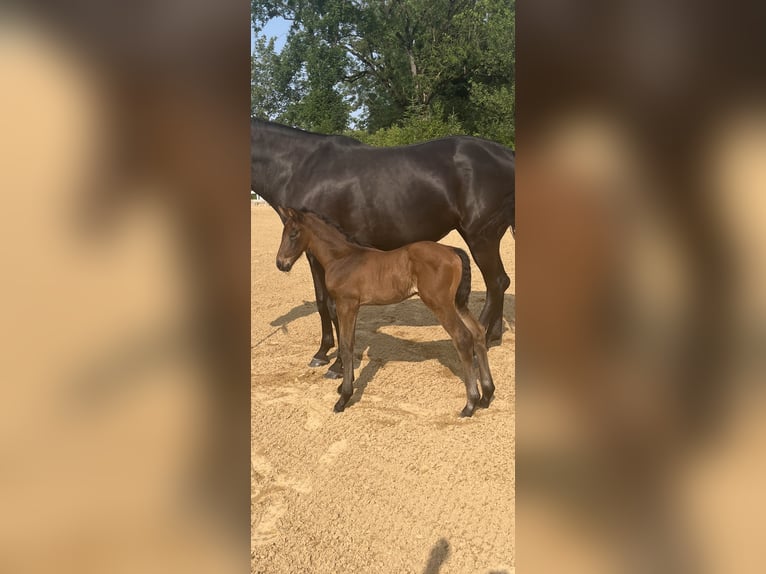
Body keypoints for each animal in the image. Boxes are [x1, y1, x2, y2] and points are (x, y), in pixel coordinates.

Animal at [251, 119, 514, 378]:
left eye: (293, 234)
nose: (281, 264)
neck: (302, 167)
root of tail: (506, 154)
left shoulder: (317, 252)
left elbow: (331, 306)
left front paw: (337, 365)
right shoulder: (315, 253)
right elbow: (321, 302)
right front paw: (322, 353)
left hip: (481, 237)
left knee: (495, 283)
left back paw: (480, 343)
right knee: (501, 282)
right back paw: (493, 336)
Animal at [275, 207, 495, 417]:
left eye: (293, 234)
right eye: (283, 233)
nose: (280, 263)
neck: (342, 258)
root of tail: (453, 251)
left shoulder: (346, 304)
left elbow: (346, 346)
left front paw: (343, 398)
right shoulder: (352, 306)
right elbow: (350, 343)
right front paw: (344, 387)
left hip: (440, 303)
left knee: (463, 337)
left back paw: (470, 404)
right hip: (457, 303)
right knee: (477, 332)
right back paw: (487, 395)